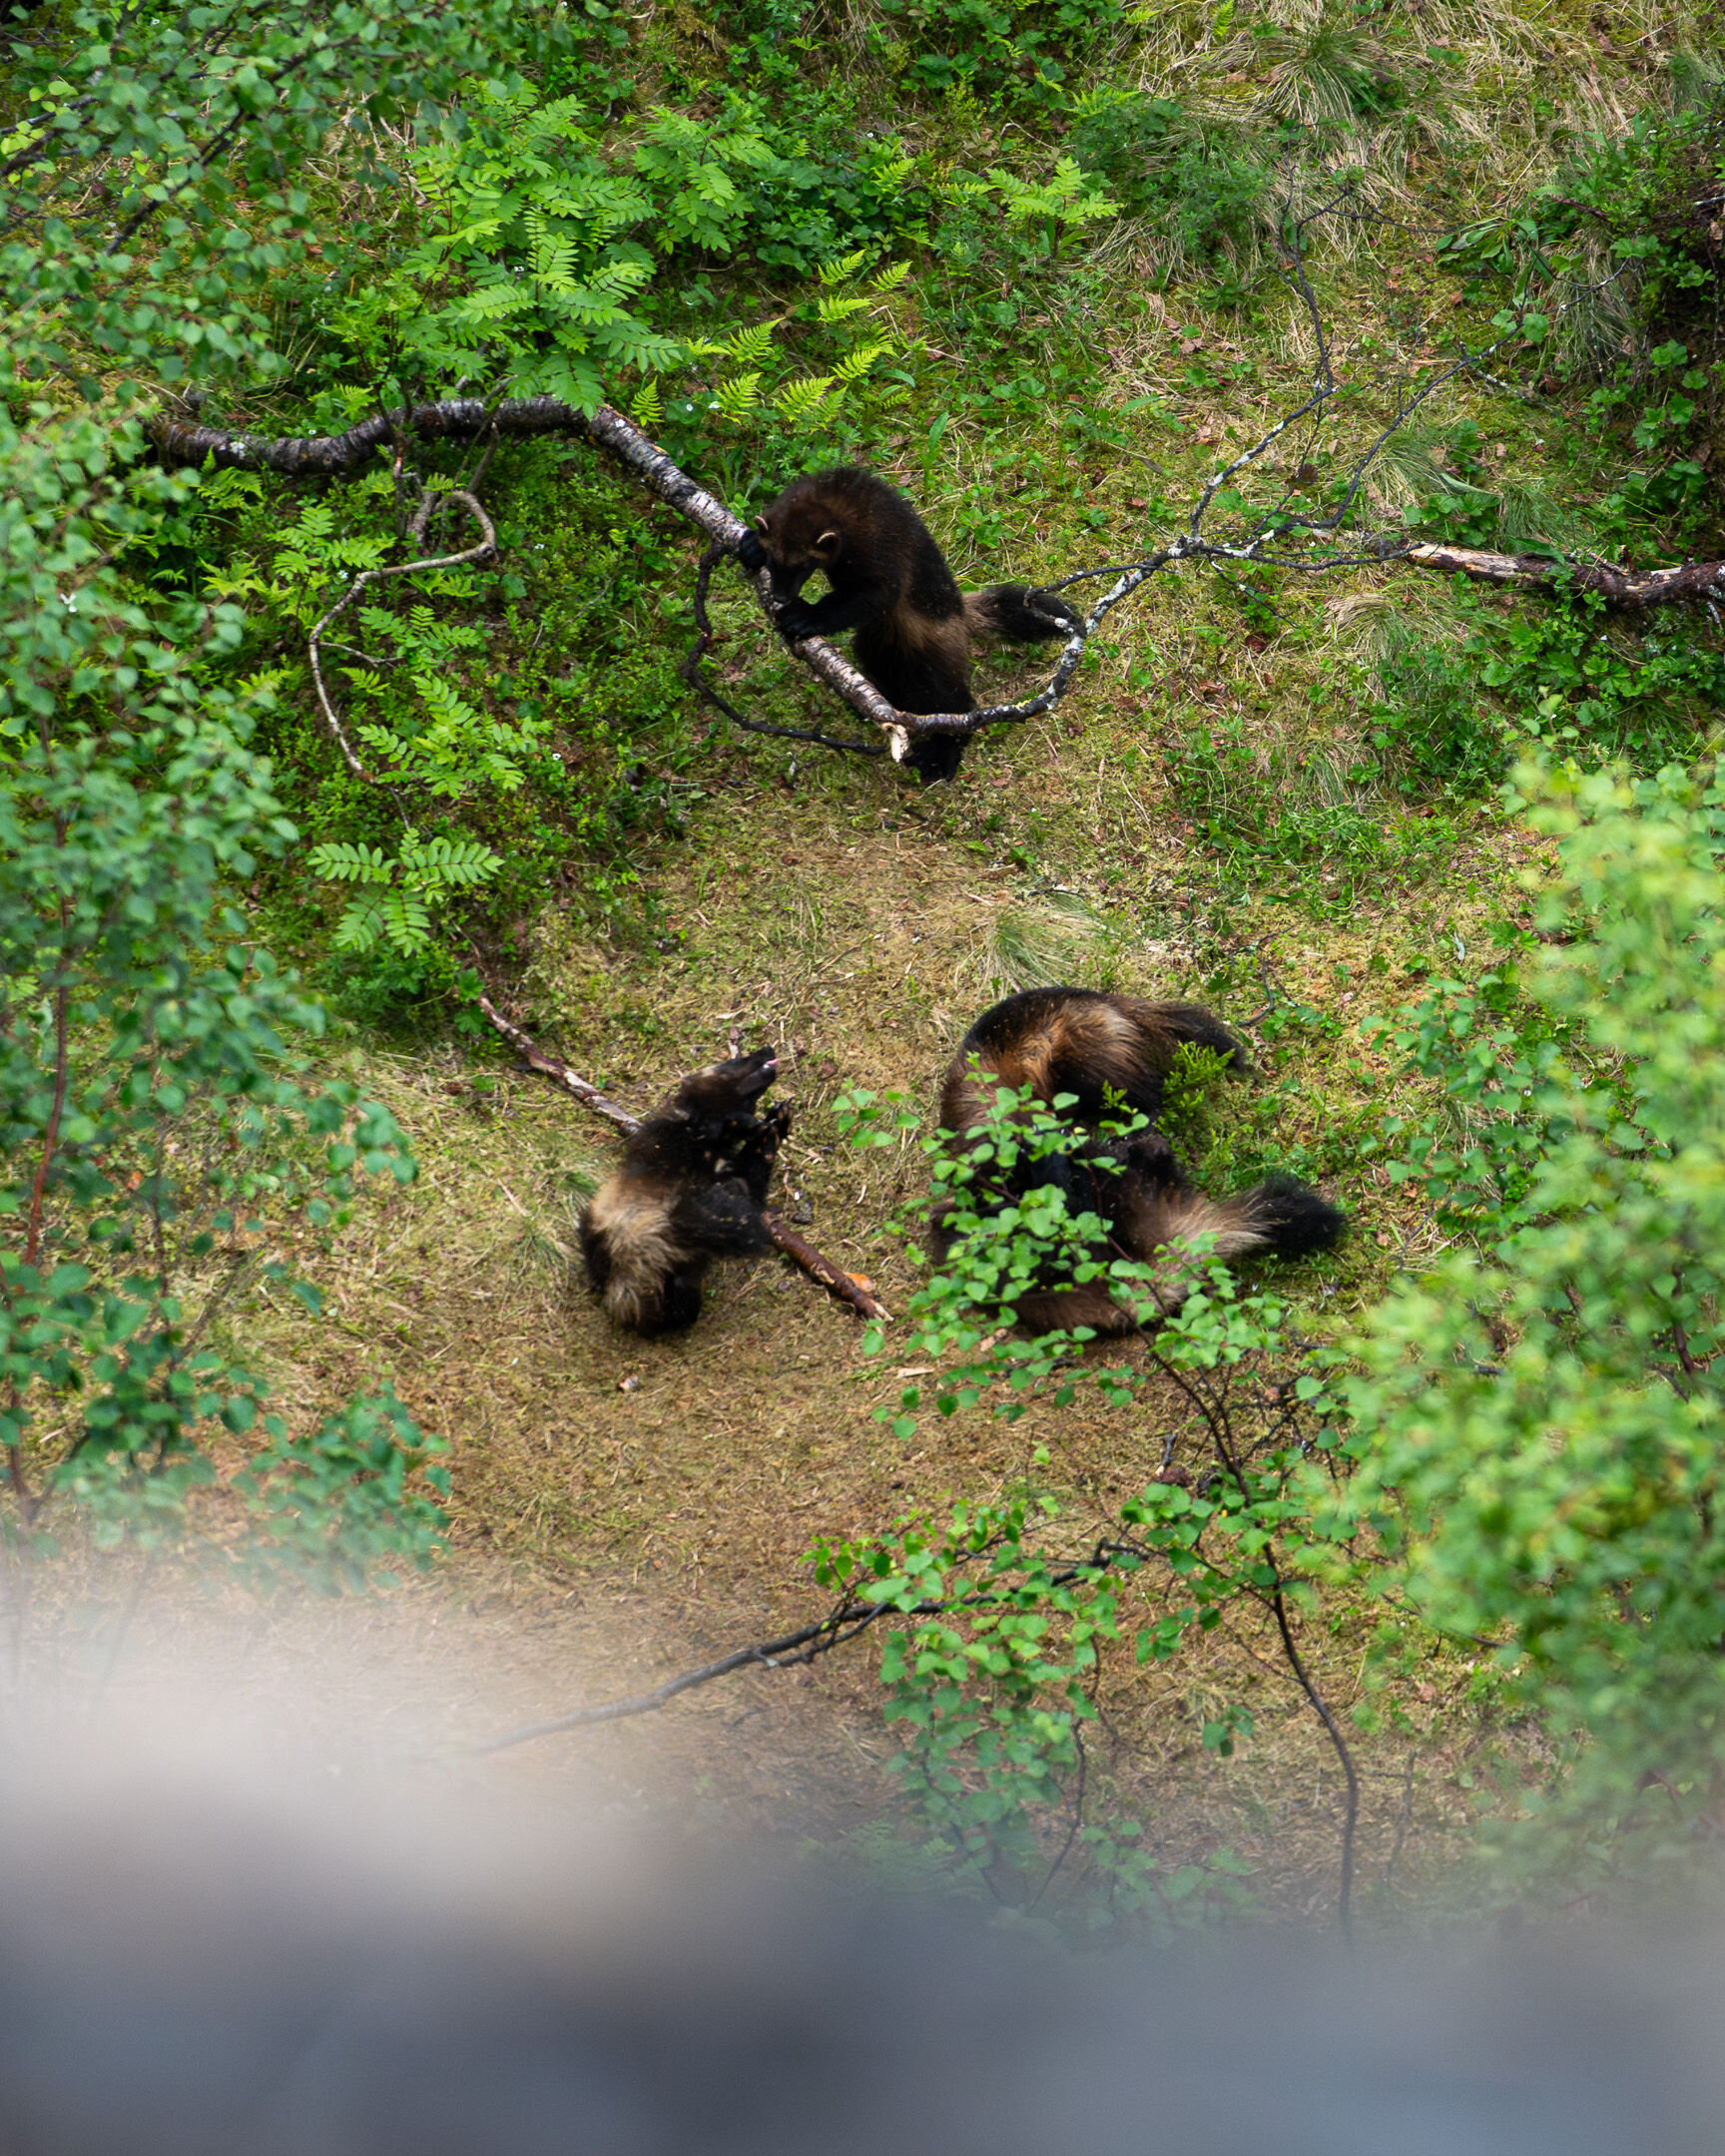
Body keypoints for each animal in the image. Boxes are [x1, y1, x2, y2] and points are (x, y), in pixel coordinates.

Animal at [578, 1048, 789, 1336]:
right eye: (736, 1059)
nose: (768, 1049)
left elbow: (749, 1181)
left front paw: (777, 1124)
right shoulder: (665, 1144)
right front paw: (746, 1124)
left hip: (677, 1281)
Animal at [734, 466, 1077, 784]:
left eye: (804, 563)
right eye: (773, 555)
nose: (780, 594)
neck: (841, 497)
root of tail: (960, 613)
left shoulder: (878, 553)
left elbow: (869, 597)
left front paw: (802, 616)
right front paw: (748, 545)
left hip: (932, 658)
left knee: (957, 707)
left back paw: (938, 758)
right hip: (877, 645)